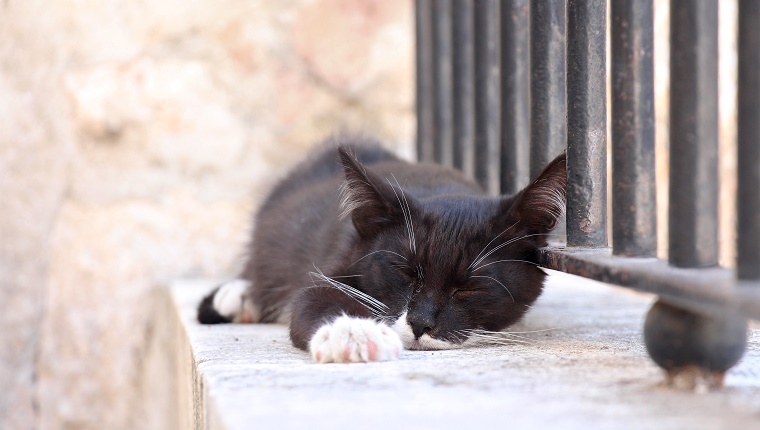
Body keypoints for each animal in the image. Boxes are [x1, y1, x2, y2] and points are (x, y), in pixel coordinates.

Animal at [196, 137, 564, 362]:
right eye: (403, 273)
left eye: (470, 288)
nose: (420, 324)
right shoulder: (343, 258)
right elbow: (312, 298)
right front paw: (353, 333)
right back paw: (238, 296)